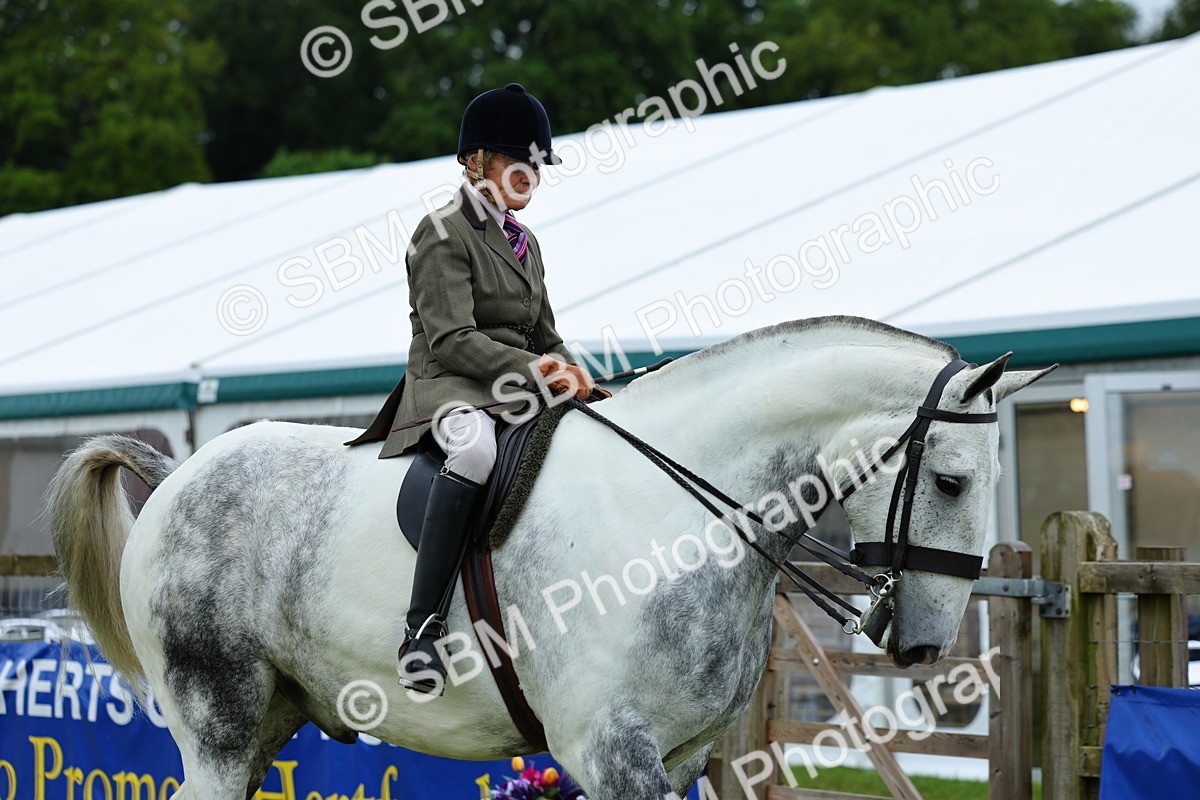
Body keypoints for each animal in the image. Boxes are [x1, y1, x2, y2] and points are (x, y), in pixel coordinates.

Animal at [48, 316, 1052, 800]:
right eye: (954, 481)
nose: (926, 648)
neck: (679, 512)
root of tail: (177, 476)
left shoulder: (681, 755)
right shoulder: (609, 750)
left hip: (267, 723)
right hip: (217, 723)